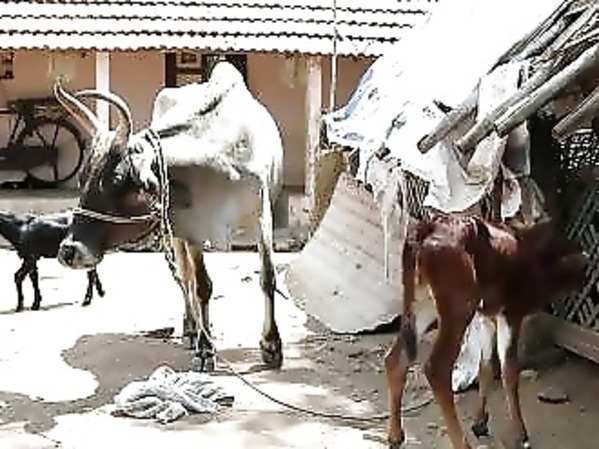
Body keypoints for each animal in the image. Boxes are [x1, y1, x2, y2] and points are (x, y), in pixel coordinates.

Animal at [52, 61, 285, 372]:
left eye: (116, 181)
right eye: (82, 179)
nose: (68, 251)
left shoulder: (263, 215)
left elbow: (268, 277)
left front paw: (271, 345)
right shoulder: (193, 228)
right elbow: (201, 285)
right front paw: (205, 348)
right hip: (176, 233)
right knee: (185, 277)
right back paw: (191, 328)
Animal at [384, 213, 588, 449]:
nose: (584, 285)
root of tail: (424, 230)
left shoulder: (487, 315)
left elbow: (486, 367)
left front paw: (480, 423)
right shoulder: (511, 311)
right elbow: (509, 370)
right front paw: (520, 434)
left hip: (420, 300)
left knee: (395, 358)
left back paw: (395, 435)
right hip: (459, 304)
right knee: (436, 368)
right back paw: (462, 444)